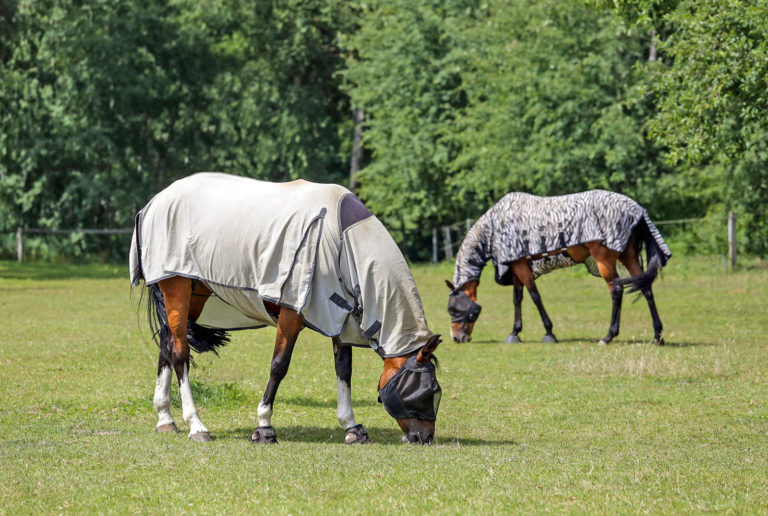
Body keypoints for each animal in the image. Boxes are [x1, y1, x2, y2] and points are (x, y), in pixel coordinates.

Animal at [130, 172, 444, 444]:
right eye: (423, 391)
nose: (424, 438)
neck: (341, 242)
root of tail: (156, 201)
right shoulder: (293, 313)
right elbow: (279, 366)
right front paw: (264, 426)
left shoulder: (338, 315)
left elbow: (343, 369)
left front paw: (352, 427)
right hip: (176, 287)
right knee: (179, 353)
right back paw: (196, 425)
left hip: (195, 293)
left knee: (167, 343)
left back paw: (165, 419)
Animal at [444, 189, 672, 346]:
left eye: (454, 309)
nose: (457, 337)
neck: (494, 227)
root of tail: (636, 210)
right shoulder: (516, 266)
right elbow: (517, 299)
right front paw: (515, 332)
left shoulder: (521, 267)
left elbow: (535, 297)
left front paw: (549, 332)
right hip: (629, 256)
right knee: (646, 288)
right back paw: (657, 336)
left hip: (605, 261)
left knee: (616, 291)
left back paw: (608, 336)